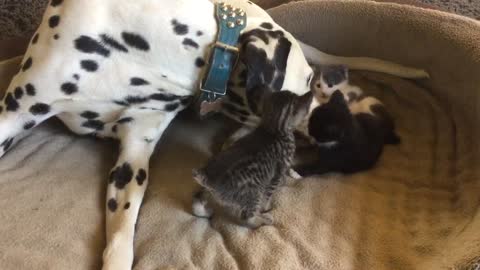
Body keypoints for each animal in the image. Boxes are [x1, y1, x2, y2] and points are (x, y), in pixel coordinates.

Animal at [193, 88, 314, 228]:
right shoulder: (276, 174)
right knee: (247, 217)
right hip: (254, 193)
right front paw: (266, 208)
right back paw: (264, 220)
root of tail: (209, 178)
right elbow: (268, 195)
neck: (273, 128)